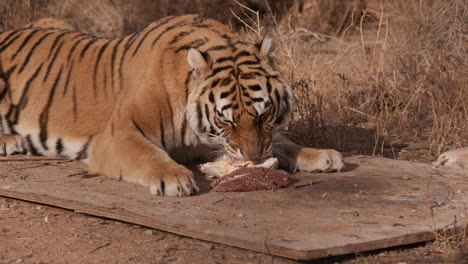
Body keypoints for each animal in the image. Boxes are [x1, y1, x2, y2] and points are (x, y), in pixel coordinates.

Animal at [0, 14, 344, 196]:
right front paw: (174, 178)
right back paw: (10, 141)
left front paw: (322, 155)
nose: (254, 157)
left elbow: (283, 142)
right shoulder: (119, 135)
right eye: (228, 120)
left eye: (263, 114)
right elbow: (149, 154)